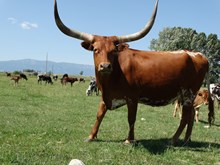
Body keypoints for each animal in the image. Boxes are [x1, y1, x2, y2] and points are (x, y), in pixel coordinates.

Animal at [53, 0, 213, 146]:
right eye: (95, 49)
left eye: (114, 50)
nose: (105, 66)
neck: (112, 78)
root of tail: (198, 55)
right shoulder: (106, 96)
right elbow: (99, 114)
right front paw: (91, 136)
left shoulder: (132, 97)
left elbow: (131, 118)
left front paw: (129, 140)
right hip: (186, 95)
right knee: (191, 115)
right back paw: (186, 140)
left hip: (188, 92)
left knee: (185, 116)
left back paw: (173, 140)